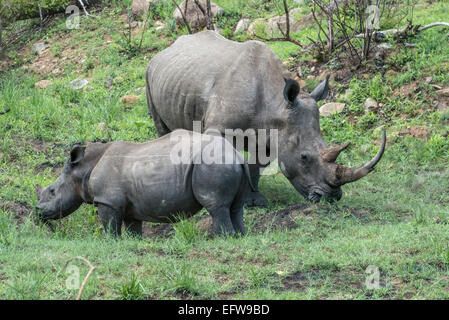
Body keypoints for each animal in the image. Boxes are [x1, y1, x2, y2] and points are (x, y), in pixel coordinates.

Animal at [36, 129, 252, 236]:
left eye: (53, 191)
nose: (38, 212)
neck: (83, 169)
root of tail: (236, 154)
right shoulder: (129, 207)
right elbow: (133, 230)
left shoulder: (107, 200)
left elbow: (110, 228)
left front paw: (110, 242)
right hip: (227, 163)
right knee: (235, 207)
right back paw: (240, 237)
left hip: (211, 163)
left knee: (216, 206)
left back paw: (222, 239)